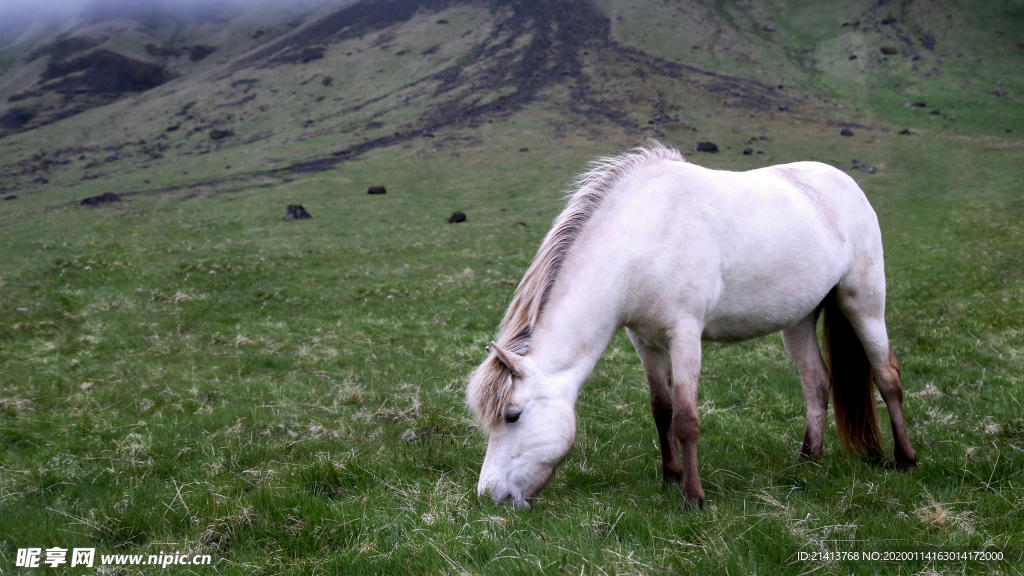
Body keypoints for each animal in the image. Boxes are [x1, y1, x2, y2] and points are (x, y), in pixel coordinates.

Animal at [468, 140, 917, 506]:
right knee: (817, 383)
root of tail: (844, 182)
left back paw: (906, 459)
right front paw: (671, 476)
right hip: (799, 320)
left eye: (512, 416)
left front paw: (693, 497)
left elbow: (686, 419)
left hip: (863, 304)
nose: (490, 495)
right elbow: (661, 409)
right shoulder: (644, 341)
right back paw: (808, 462)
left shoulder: (684, 335)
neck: (643, 237)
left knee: (887, 376)